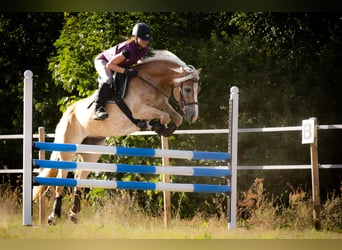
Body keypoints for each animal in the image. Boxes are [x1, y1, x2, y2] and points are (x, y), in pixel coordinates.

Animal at [32, 50, 200, 225]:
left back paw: (74, 214)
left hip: (91, 152)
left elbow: (175, 117)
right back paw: (53, 216)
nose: (193, 116)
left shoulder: (163, 105)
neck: (151, 82)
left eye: (198, 89)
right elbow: (164, 116)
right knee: (61, 179)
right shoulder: (140, 110)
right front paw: (155, 126)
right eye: (188, 89)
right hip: (67, 149)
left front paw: (162, 129)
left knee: (79, 177)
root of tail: (66, 113)